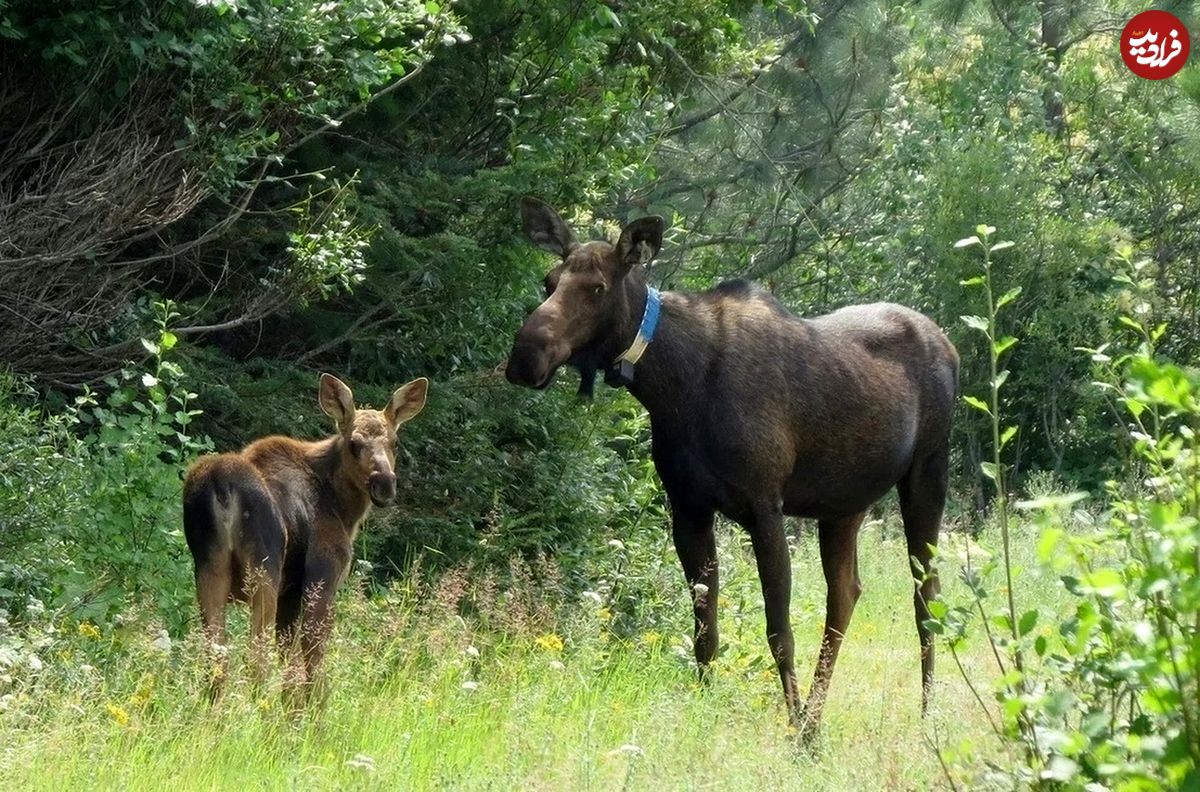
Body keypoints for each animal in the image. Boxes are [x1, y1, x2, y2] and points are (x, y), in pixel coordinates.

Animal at [184, 374, 429, 700]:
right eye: (354, 443)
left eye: (395, 443)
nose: (384, 484)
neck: (343, 509)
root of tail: (221, 486)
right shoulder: (321, 576)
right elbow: (314, 663)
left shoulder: (289, 594)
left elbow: (290, 665)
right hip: (264, 567)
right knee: (256, 657)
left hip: (209, 566)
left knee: (216, 656)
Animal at [504, 196, 955, 734]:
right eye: (548, 281)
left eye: (597, 287)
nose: (525, 356)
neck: (672, 386)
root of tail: (949, 344)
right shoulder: (689, 509)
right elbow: (705, 629)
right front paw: (714, 710)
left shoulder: (764, 506)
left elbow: (778, 630)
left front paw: (790, 729)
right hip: (844, 505)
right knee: (845, 593)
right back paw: (816, 721)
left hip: (927, 473)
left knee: (926, 595)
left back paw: (924, 717)